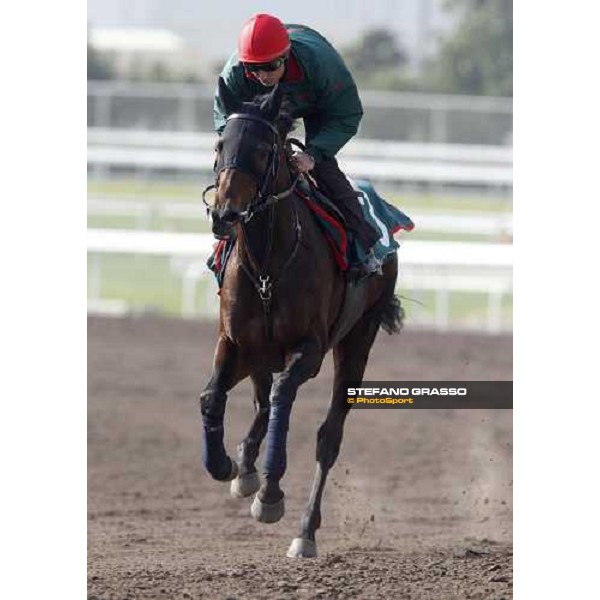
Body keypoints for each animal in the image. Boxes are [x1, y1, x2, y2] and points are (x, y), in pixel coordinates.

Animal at [202, 78, 404, 556]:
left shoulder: (309, 350)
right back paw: (245, 467)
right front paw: (224, 463)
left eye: (262, 150)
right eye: (220, 144)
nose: (225, 215)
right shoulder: (234, 341)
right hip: (259, 353)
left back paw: (304, 531)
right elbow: (213, 395)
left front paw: (270, 493)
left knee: (327, 436)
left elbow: (282, 399)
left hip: (357, 341)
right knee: (259, 400)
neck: (266, 264)